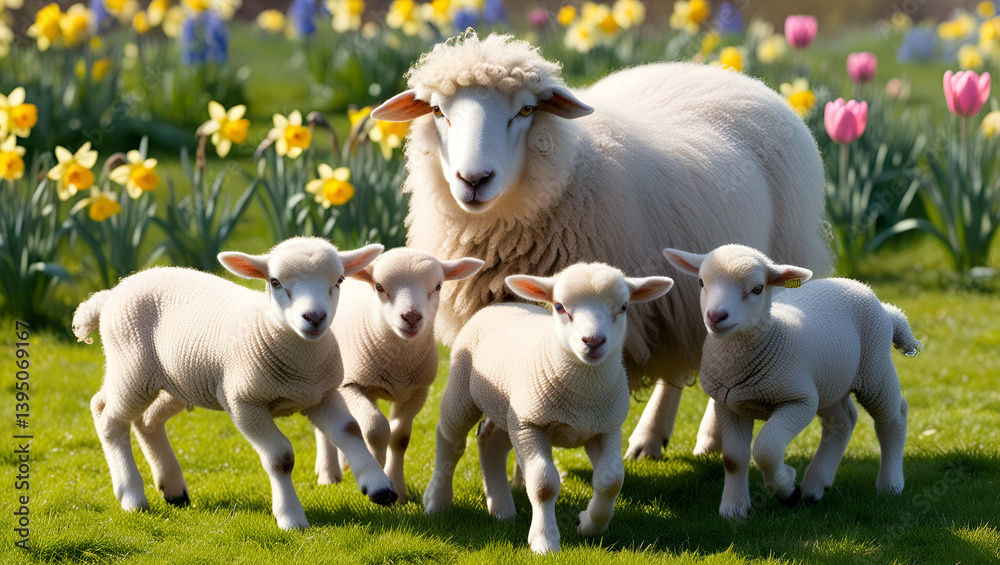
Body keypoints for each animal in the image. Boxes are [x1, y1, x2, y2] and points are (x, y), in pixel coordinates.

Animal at [71, 237, 398, 530]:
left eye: (339, 280)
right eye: (275, 282)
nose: (314, 317)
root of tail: (111, 293)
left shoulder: (323, 394)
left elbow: (350, 430)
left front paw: (379, 486)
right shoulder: (243, 402)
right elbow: (280, 457)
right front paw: (291, 518)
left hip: (177, 381)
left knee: (147, 421)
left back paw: (173, 488)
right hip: (132, 368)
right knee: (106, 415)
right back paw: (131, 494)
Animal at [312, 248, 484, 503]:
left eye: (438, 286)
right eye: (379, 286)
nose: (411, 317)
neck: (398, 364)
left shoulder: (417, 392)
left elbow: (399, 437)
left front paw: (399, 490)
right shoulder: (351, 384)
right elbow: (375, 428)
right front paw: (378, 469)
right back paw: (328, 474)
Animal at [371, 31, 832, 460]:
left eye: (526, 110)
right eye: (437, 111)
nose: (474, 179)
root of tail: (731, 74)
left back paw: (706, 436)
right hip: (680, 297)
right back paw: (651, 438)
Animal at [423, 262, 674, 554]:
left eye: (623, 307)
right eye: (559, 306)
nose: (593, 341)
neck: (581, 395)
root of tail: (504, 304)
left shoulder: (605, 427)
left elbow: (611, 480)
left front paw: (590, 525)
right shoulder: (532, 425)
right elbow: (544, 483)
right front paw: (545, 540)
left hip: (510, 410)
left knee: (489, 441)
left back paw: (502, 510)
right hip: (465, 389)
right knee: (450, 438)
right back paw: (437, 502)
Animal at [662, 244, 919, 519]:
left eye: (757, 288)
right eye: (701, 282)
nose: (716, 316)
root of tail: (879, 301)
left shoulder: (799, 400)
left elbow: (767, 447)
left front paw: (787, 488)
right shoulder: (728, 405)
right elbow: (733, 459)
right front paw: (734, 508)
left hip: (874, 368)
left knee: (894, 416)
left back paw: (890, 485)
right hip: (828, 382)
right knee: (842, 422)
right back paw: (815, 486)